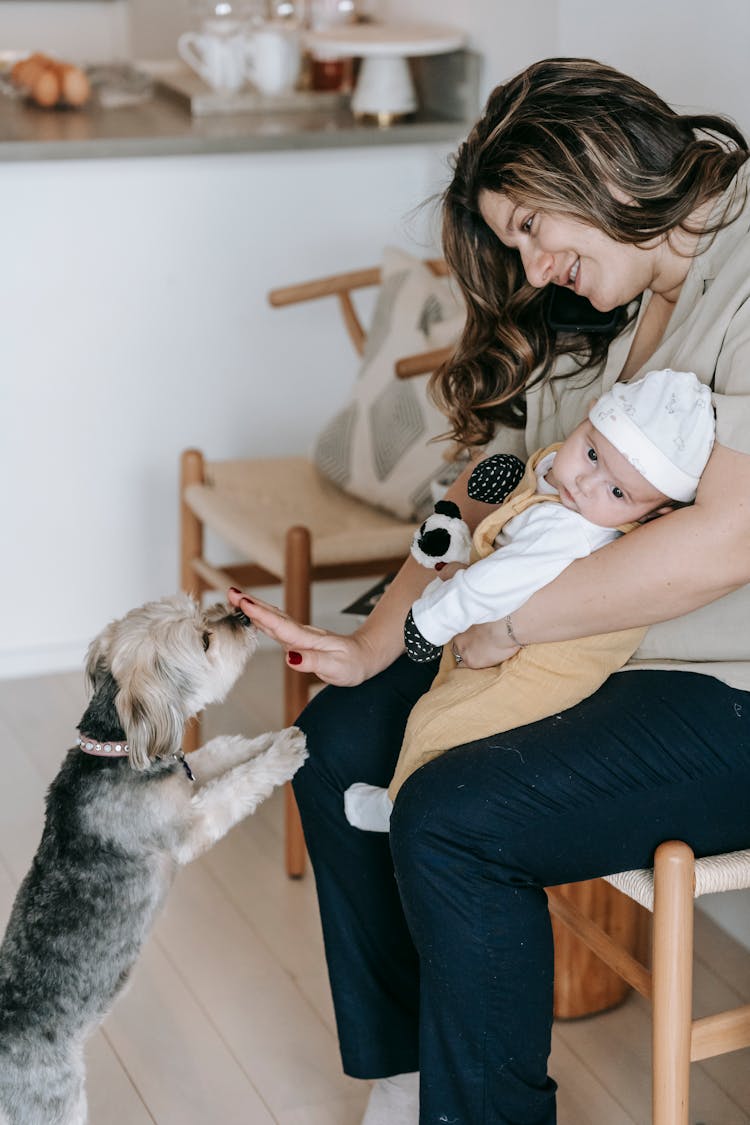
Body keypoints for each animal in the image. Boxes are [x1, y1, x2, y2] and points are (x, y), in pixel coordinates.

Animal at [0, 594, 308, 1120]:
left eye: (202, 610)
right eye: (204, 640)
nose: (240, 614)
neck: (117, 747)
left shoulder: (184, 775)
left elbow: (219, 753)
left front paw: (267, 739)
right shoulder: (189, 825)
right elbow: (235, 786)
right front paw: (282, 752)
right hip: (57, 1103)